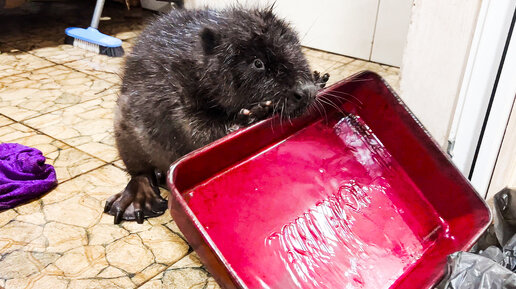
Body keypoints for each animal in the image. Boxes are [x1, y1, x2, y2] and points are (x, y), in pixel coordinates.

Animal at [105, 6, 330, 223]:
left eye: (295, 46)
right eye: (258, 63)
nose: (305, 91)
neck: (194, 59)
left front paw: (319, 79)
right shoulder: (167, 90)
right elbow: (194, 128)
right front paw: (253, 114)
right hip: (124, 130)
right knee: (139, 172)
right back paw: (137, 202)